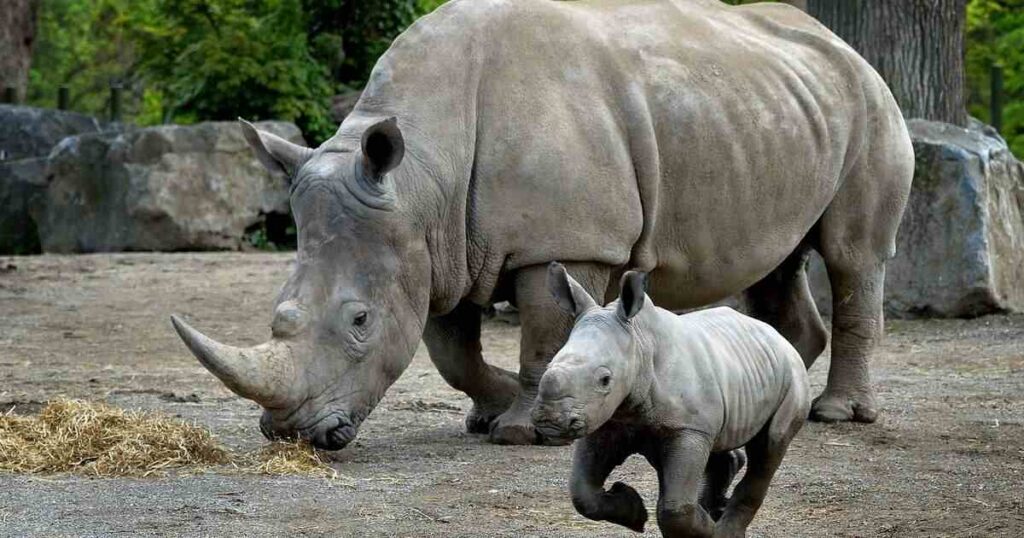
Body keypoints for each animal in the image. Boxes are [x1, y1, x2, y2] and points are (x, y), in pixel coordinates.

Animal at [171, 0, 913, 449]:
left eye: (359, 321)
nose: (291, 434)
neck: (421, 176)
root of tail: (844, 46)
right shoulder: (439, 246)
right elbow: (451, 353)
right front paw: (488, 412)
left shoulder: (567, 241)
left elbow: (544, 332)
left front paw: (521, 430)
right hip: (773, 109)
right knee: (775, 259)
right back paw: (774, 388)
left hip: (874, 103)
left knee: (852, 255)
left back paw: (834, 414)